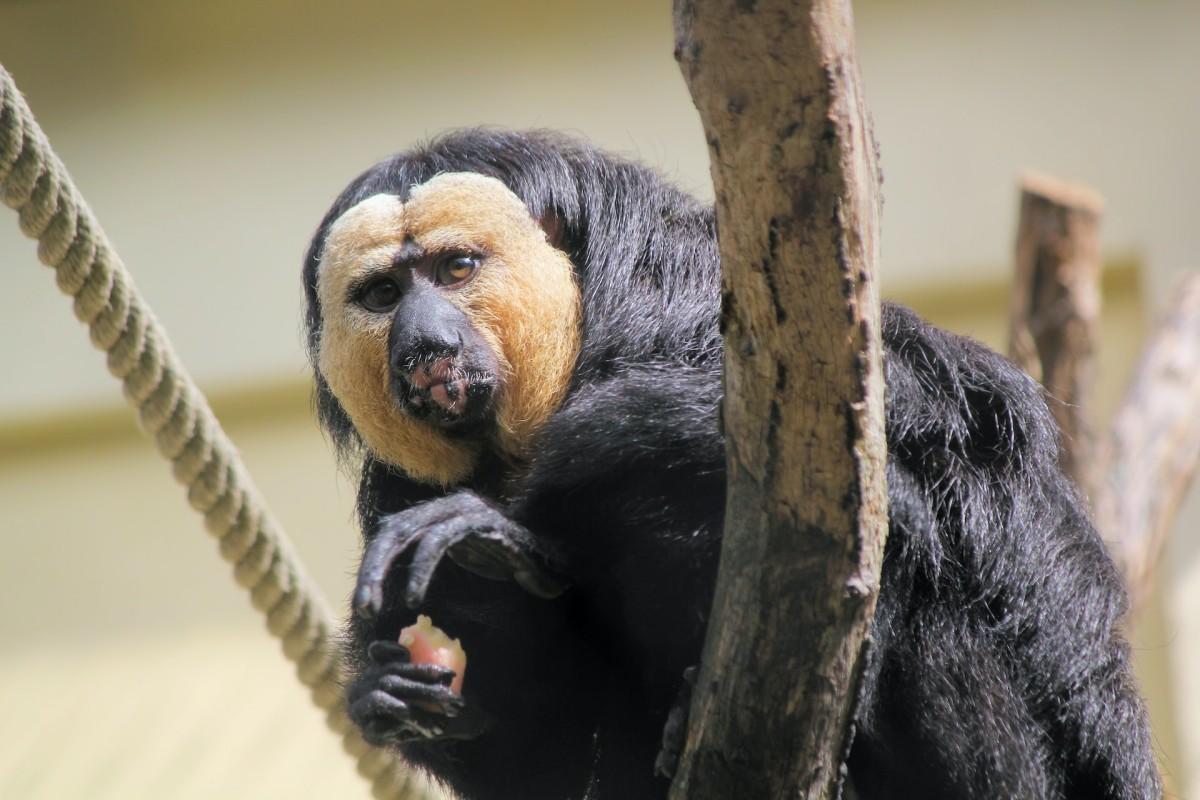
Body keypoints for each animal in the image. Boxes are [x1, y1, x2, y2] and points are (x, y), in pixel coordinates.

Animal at [302, 131, 1161, 800]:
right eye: (383, 294)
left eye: (455, 269)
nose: (426, 344)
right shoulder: (394, 487)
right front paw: (401, 680)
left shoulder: (685, 302)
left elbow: (915, 470)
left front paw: (502, 536)